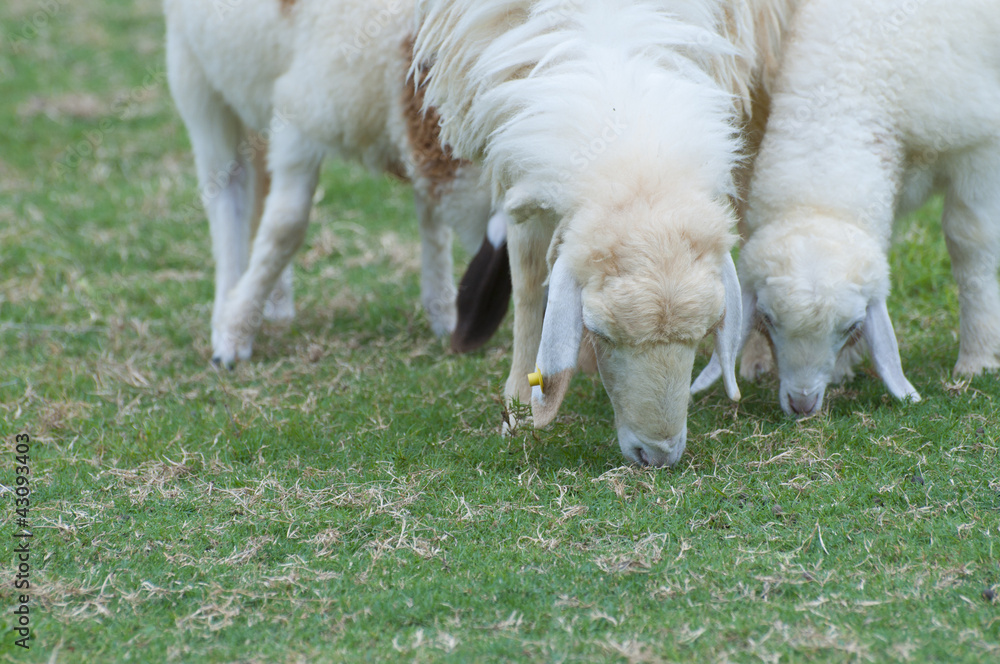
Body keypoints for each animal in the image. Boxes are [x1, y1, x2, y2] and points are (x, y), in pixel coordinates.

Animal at [164, 0, 504, 367]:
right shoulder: (300, 112)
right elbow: (286, 226)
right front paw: (234, 330)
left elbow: (433, 223)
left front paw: (443, 314)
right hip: (193, 70)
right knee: (226, 187)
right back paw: (228, 312)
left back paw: (276, 302)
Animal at [692, 0, 1000, 417]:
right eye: (767, 319)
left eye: (852, 325)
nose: (802, 404)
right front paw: (845, 366)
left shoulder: (978, 149)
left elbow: (970, 248)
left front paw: (977, 359)